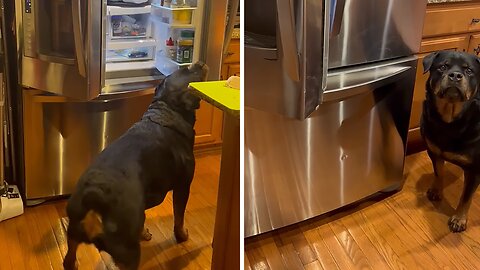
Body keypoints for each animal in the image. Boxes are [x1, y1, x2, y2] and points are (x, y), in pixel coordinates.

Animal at [62, 62, 208, 268]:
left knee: (69, 256)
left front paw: (144, 232)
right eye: (187, 70)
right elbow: (179, 216)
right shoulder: (183, 186)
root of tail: (94, 195)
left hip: (73, 229)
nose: (200, 63)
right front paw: (181, 236)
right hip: (127, 251)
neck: (166, 111)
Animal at [422, 50, 480, 232]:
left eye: (468, 70)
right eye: (443, 67)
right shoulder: (434, 152)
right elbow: (438, 172)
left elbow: (466, 197)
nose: (455, 75)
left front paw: (459, 219)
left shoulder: (474, 169)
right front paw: (436, 191)